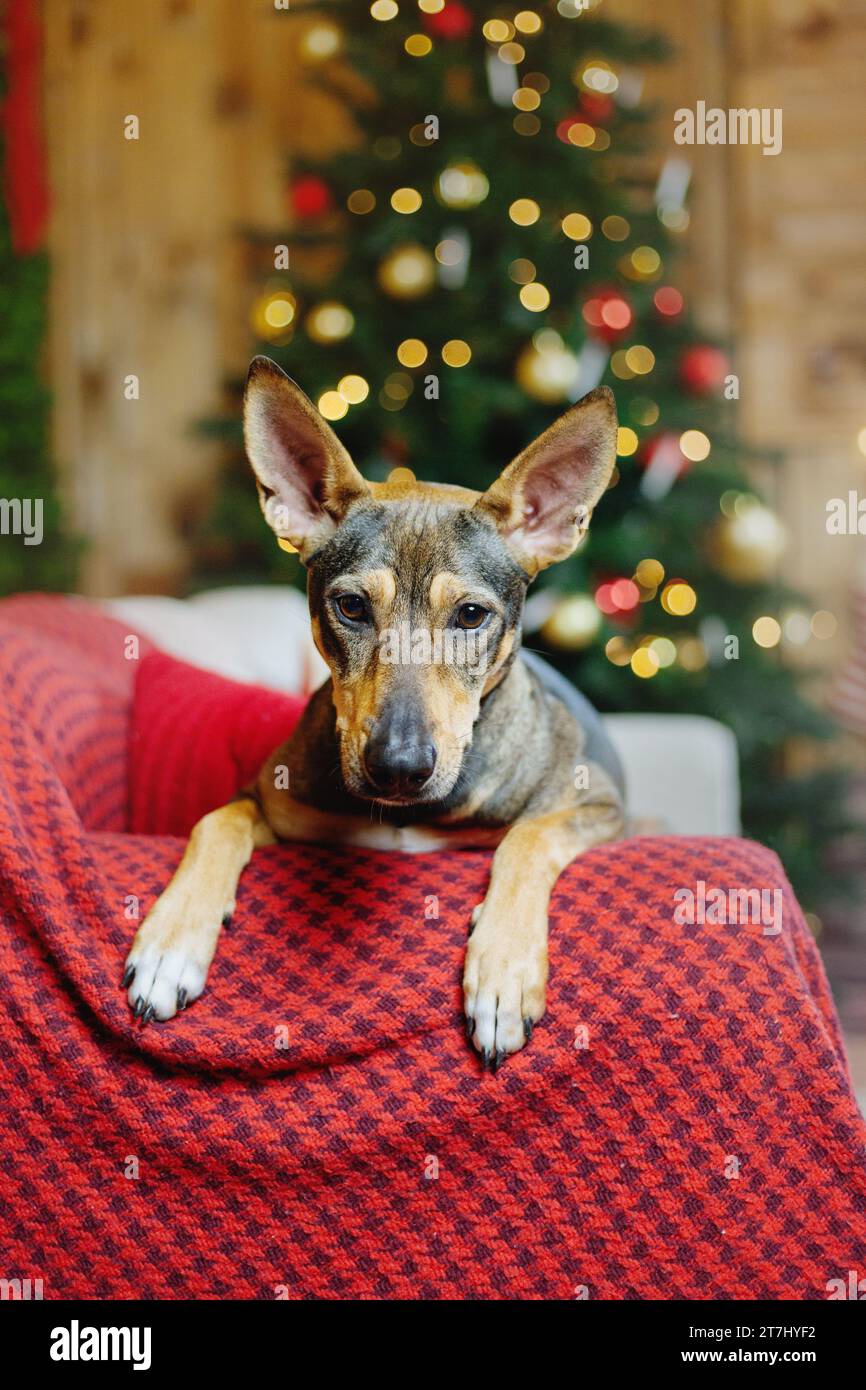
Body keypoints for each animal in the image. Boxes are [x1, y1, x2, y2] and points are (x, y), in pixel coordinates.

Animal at [120, 355, 622, 1061]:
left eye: (472, 615)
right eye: (352, 606)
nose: (399, 768)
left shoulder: (600, 805)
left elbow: (527, 837)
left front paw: (503, 969)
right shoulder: (266, 799)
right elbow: (215, 822)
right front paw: (170, 944)